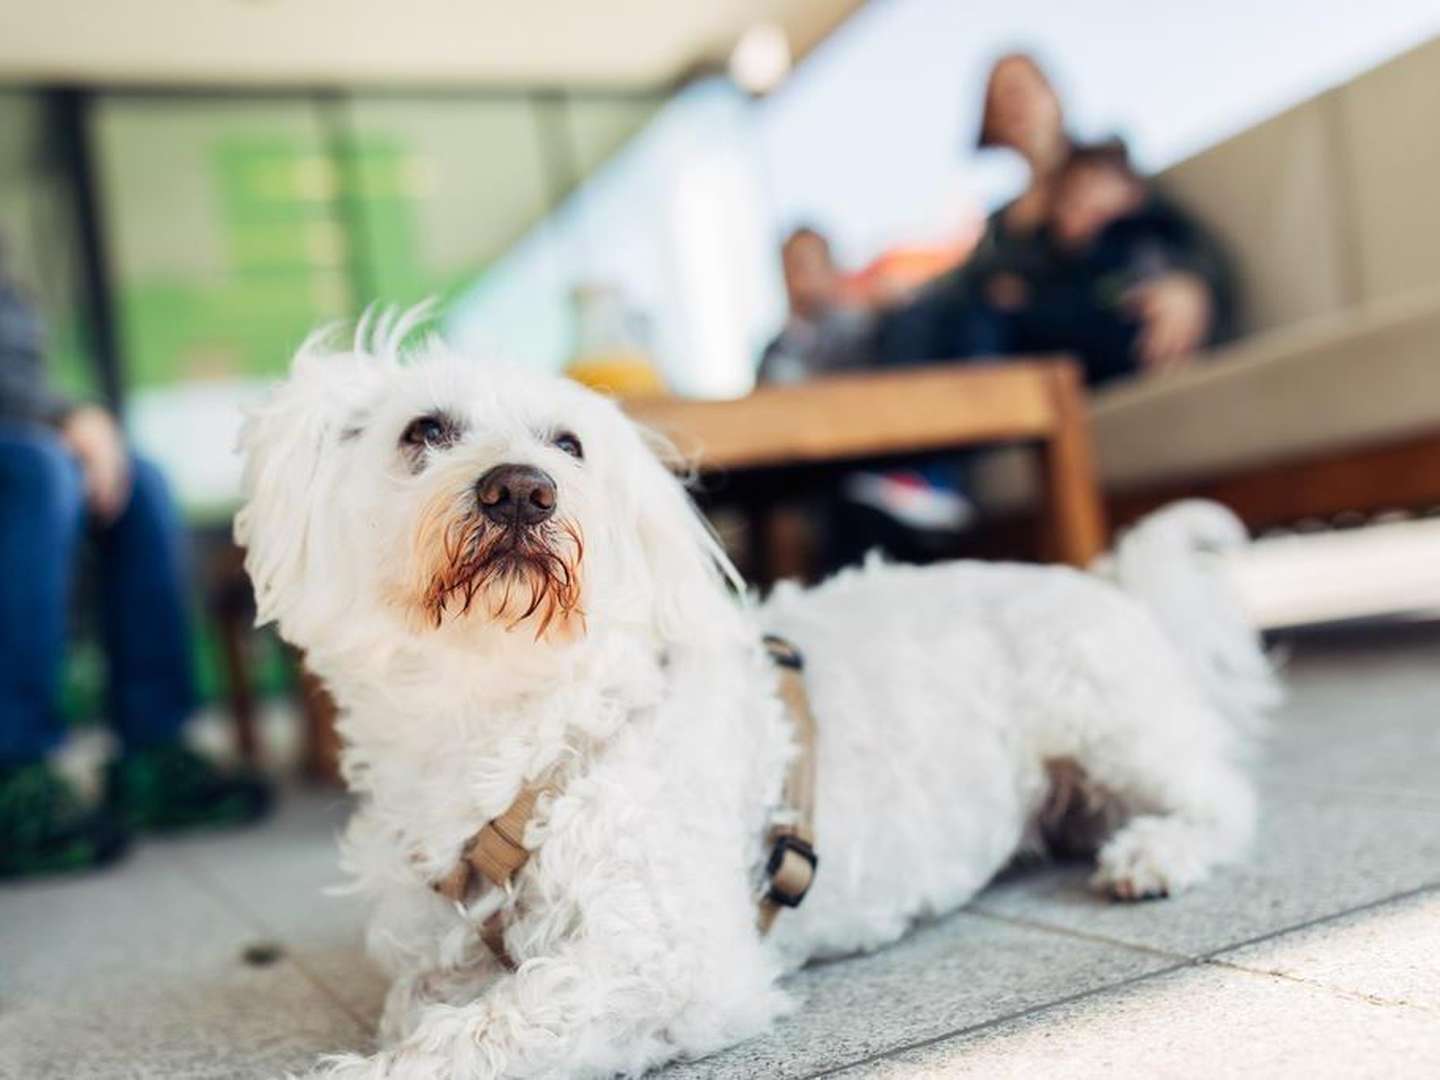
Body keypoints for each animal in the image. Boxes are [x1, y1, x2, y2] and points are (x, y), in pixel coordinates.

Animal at [239, 321, 1284, 1080]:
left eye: (568, 444)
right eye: (423, 432)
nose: (522, 490)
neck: (508, 725)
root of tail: (1117, 590)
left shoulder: (672, 963)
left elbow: (490, 1029)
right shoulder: (434, 948)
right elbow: (423, 1003)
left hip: (1108, 716)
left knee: (1224, 797)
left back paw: (1156, 851)